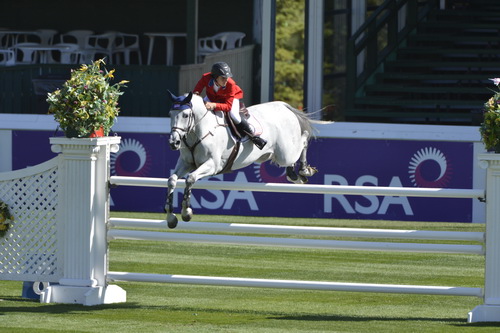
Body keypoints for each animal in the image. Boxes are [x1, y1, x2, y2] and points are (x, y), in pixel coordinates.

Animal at [166, 90, 318, 228]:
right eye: (170, 114)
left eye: (185, 115)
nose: (174, 143)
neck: (199, 131)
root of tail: (283, 106)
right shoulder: (187, 163)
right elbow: (172, 180)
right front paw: (170, 217)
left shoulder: (213, 165)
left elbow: (190, 178)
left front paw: (186, 212)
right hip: (279, 155)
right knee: (293, 157)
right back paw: (294, 174)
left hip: (285, 154)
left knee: (304, 139)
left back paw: (304, 170)